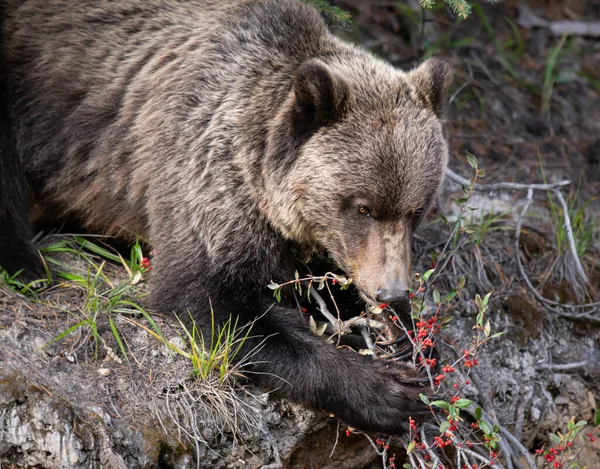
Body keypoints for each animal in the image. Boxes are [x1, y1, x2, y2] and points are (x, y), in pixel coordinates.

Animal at [0, 0, 450, 434]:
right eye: (362, 207)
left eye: (416, 209)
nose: (391, 292)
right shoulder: (206, 172)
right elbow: (213, 298)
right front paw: (389, 390)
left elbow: (328, 280)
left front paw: (411, 339)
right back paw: (26, 265)